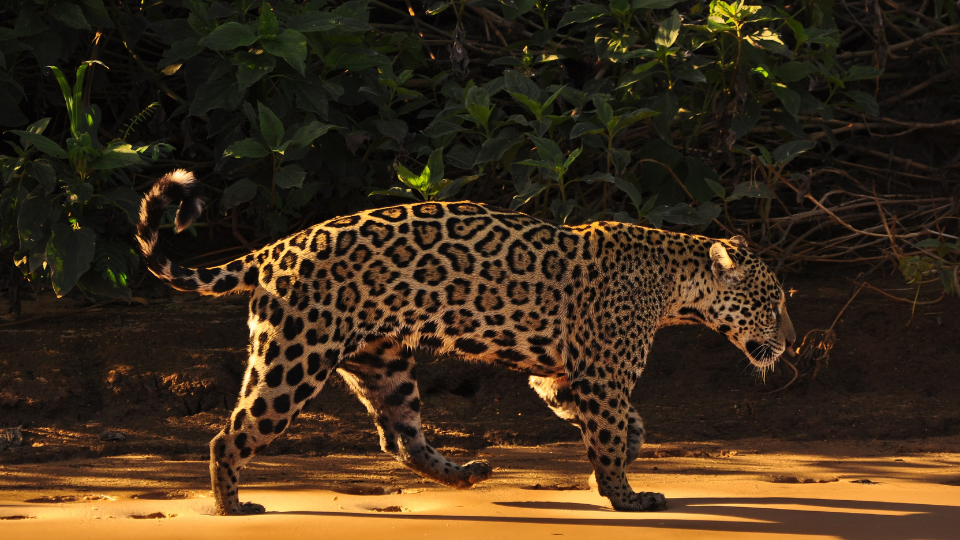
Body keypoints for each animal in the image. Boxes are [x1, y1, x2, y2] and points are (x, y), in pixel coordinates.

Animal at [137, 169, 796, 516]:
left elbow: (621, 424)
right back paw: (231, 506)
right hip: (294, 359)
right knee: (230, 435)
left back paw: (466, 475)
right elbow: (609, 434)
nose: (791, 343)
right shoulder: (601, 375)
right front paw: (624, 495)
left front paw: (623, 460)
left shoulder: (560, 375)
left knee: (399, 438)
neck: (676, 283)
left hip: (381, 361)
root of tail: (271, 250)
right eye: (774, 303)